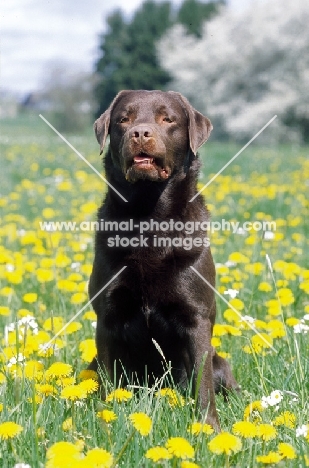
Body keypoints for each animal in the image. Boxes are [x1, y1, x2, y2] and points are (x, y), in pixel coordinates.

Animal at [88, 89, 237, 430]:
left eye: (167, 119)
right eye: (123, 119)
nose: (140, 133)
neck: (149, 219)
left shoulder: (197, 318)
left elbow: (203, 384)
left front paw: (209, 429)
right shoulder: (107, 317)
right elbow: (108, 379)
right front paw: (105, 423)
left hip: (221, 362)